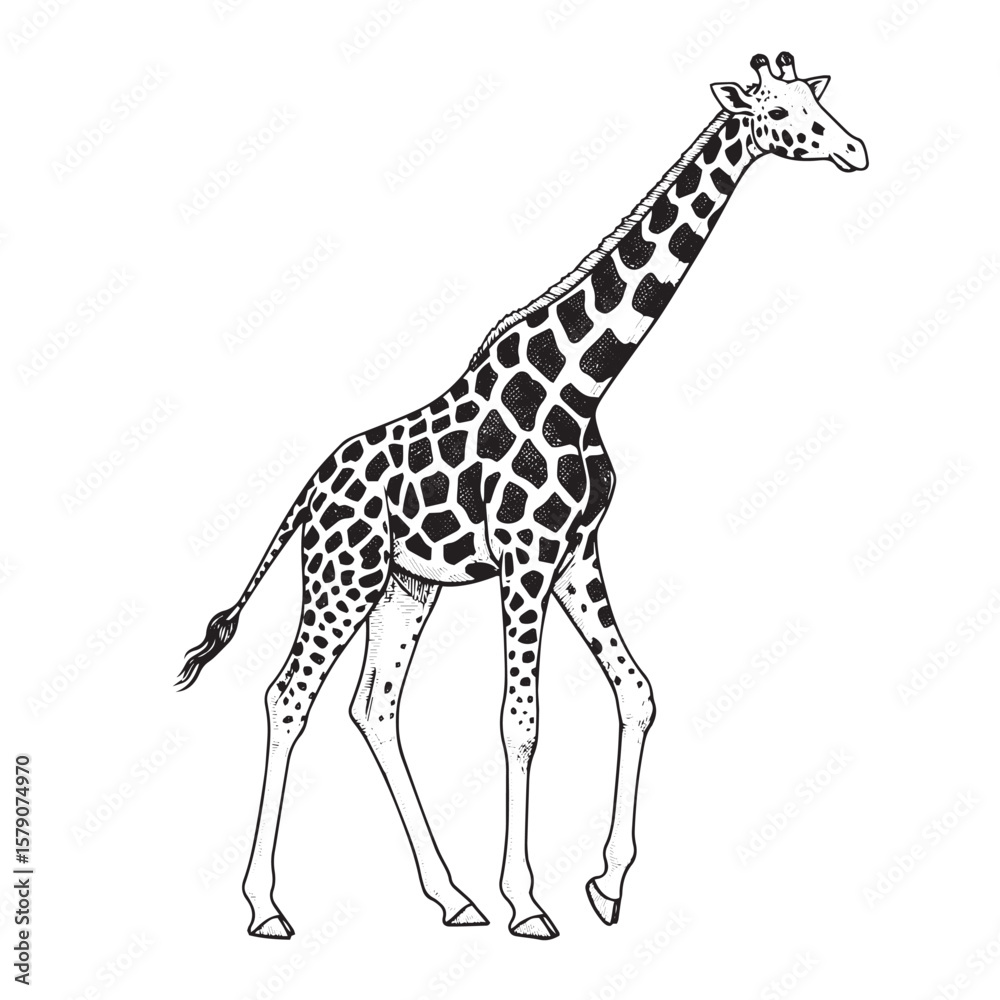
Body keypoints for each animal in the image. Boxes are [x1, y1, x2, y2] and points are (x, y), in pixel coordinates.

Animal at [179, 52, 867, 941]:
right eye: (779, 112)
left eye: (817, 98)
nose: (854, 149)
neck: (581, 382)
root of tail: (307, 492)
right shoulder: (525, 560)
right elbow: (520, 722)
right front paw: (529, 902)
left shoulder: (577, 555)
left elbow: (637, 692)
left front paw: (605, 884)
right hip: (342, 579)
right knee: (288, 696)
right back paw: (267, 907)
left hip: (406, 586)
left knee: (374, 708)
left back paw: (451, 896)